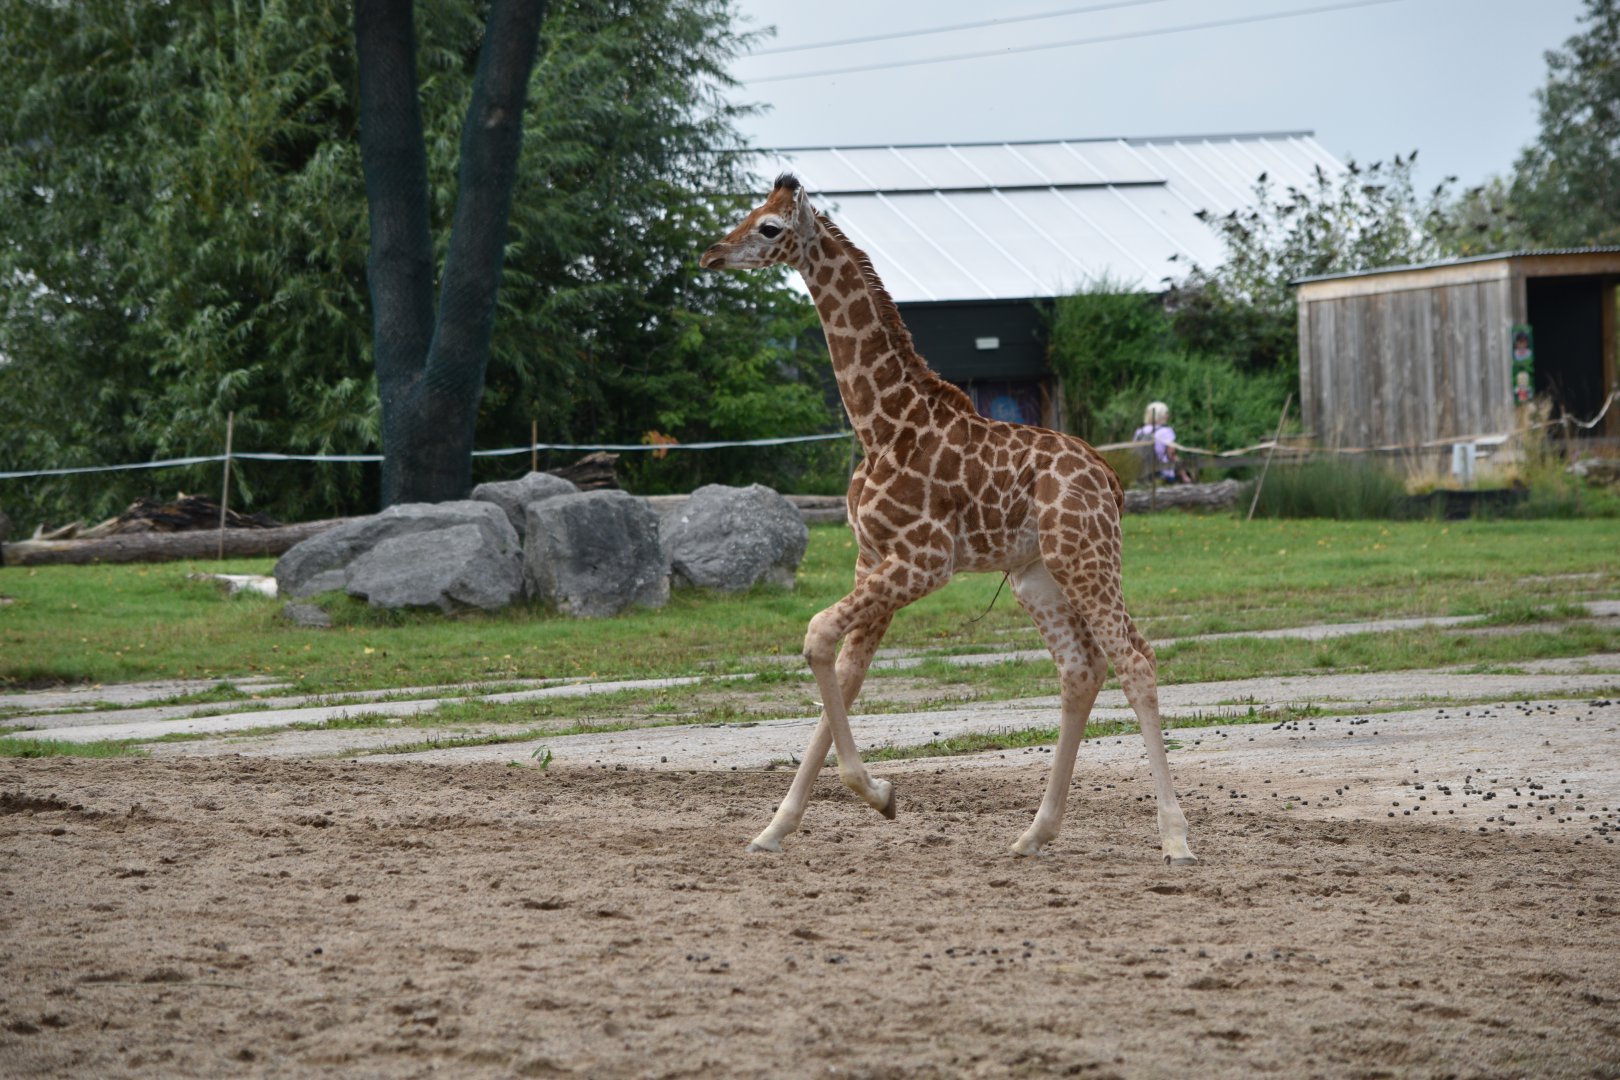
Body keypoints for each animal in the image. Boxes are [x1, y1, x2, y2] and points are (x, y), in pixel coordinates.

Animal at [700, 174, 1196, 865]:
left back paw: (1175, 838)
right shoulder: (873, 559)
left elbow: (817, 634)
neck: (880, 425)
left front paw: (879, 795)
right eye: (749, 213)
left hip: (1085, 555)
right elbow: (846, 672)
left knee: (1136, 660)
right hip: (1035, 574)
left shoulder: (925, 561)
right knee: (1080, 668)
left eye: (769, 227)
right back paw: (1034, 833)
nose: (712, 254)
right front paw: (776, 829)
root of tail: (1112, 479)